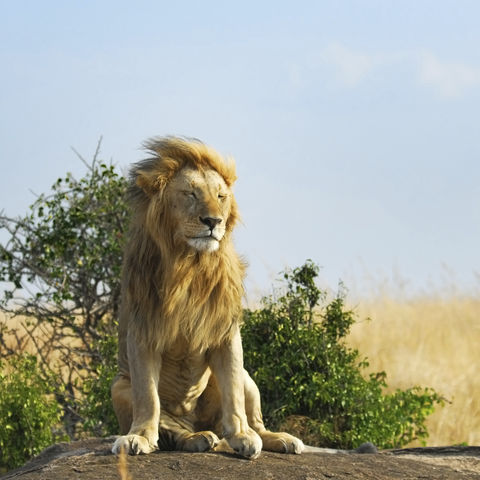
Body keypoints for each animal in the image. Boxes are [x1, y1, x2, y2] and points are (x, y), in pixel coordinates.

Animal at [111, 137, 304, 460]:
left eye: (220, 196)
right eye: (190, 194)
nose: (213, 221)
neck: (190, 265)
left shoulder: (226, 332)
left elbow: (233, 395)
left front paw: (242, 436)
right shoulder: (142, 332)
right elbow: (148, 398)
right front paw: (138, 437)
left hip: (248, 378)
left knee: (253, 418)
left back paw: (277, 438)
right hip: (119, 387)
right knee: (172, 432)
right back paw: (197, 439)